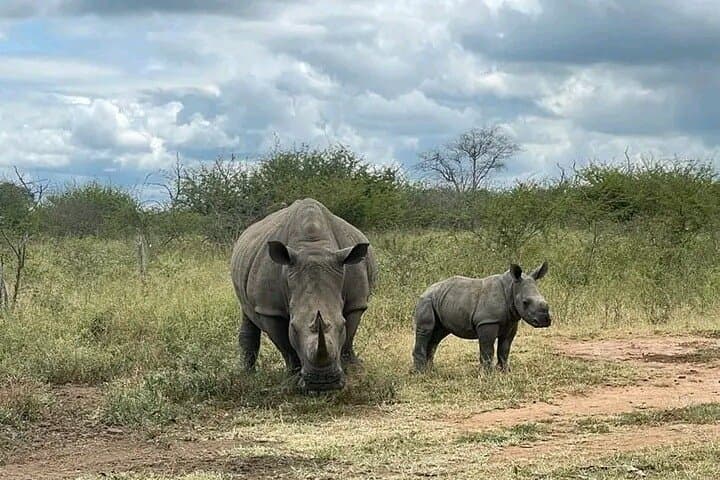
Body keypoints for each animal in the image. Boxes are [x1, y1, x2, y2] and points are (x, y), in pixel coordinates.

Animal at [230, 198, 377, 392]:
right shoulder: (270, 310)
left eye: (342, 324)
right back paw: (247, 375)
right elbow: (286, 347)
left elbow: (349, 337)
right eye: (293, 327)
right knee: (247, 312)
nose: (323, 383)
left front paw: (353, 371)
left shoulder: (356, 301)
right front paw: (293, 379)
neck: (313, 247)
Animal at [412, 262, 550, 372]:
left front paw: (505, 371)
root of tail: (426, 289)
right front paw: (487, 374)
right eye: (525, 302)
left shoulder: (511, 322)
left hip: (441, 301)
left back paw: (430, 370)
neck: (511, 288)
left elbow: (505, 348)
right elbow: (487, 348)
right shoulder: (487, 321)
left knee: (437, 334)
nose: (545, 321)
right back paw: (420, 372)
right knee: (426, 330)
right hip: (426, 300)